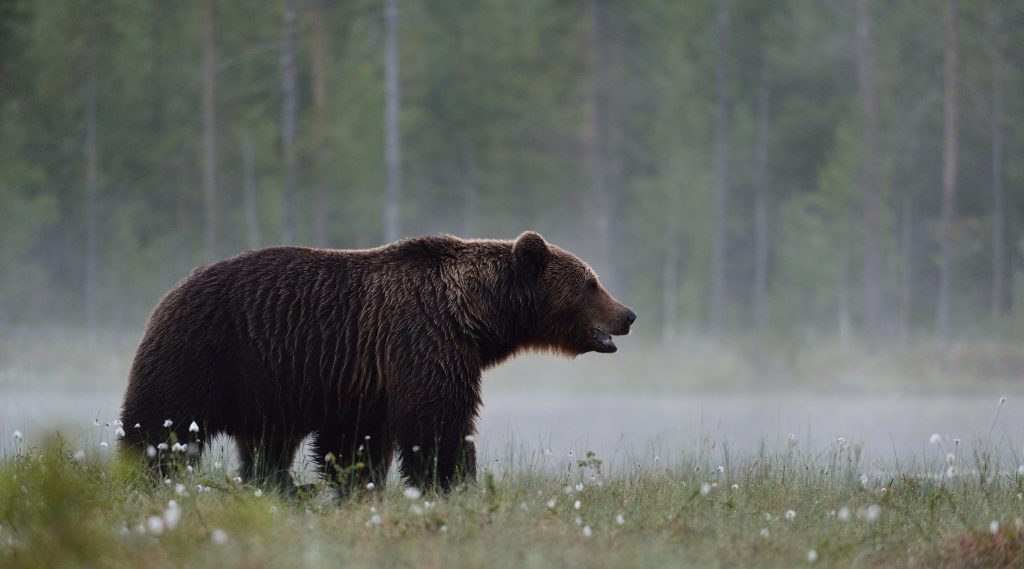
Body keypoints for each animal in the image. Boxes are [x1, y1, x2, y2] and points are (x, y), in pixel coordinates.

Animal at [119, 231, 636, 493]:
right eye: (591, 283)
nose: (628, 314)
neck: (474, 316)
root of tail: (170, 292)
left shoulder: (365, 378)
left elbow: (357, 441)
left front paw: (358, 485)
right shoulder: (423, 338)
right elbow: (437, 422)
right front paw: (454, 483)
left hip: (267, 385)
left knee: (268, 445)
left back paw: (283, 486)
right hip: (202, 352)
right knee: (161, 425)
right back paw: (144, 474)